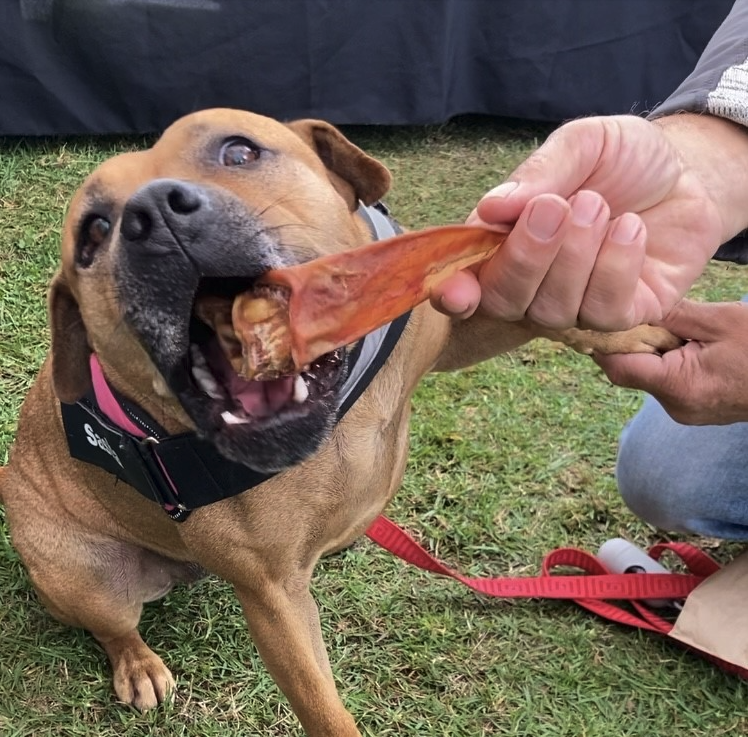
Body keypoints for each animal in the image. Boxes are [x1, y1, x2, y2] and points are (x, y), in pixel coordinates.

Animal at [0, 106, 676, 732]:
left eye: (239, 150)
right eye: (93, 232)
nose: (153, 215)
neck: (333, 416)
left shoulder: (444, 320)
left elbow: (547, 313)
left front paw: (640, 333)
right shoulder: (274, 599)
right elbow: (324, 709)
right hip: (88, 577)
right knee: (114, 629)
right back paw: (138, 664)